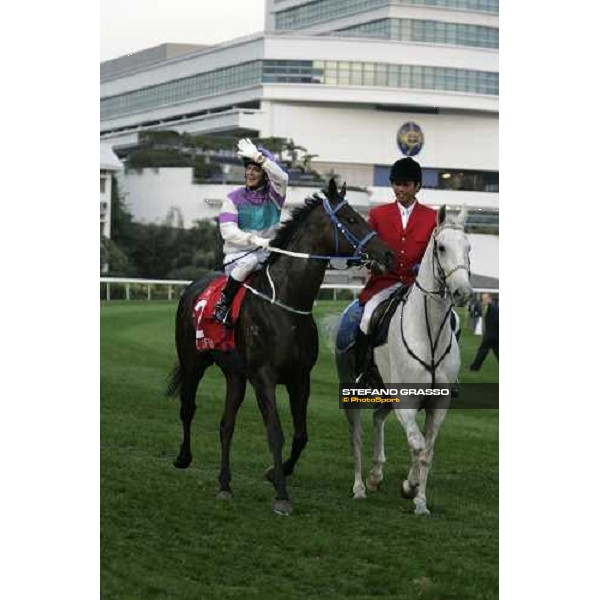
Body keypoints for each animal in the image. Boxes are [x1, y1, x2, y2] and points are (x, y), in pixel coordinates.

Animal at [168, 178, 394, 516]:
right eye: (352, 218)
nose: (389, 254)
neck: (286, 305)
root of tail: (193, 287)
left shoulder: (300, 378)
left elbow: (301, 435)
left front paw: (277, 472)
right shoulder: (264, 377)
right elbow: (276, 433)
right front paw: (282, 494)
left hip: (235, 375)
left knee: (226, 425)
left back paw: (225, 484)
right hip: (193, 361)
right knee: (187, 407)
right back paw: (183, 458)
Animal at [336, 206, 472, 516]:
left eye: (468, 247)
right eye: (442, 247)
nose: (464, 292)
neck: (429, 334)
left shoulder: (438, 405)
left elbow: (427, 450)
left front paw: (419, 500)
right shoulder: (406, 403)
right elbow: (418, 445)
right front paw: (410, 487)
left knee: (377, 418)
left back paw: (376, 475)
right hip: (353, 392)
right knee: (356, 436)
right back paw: (359, 487)